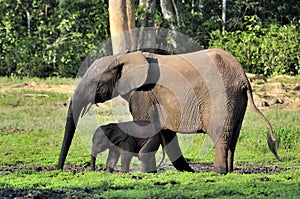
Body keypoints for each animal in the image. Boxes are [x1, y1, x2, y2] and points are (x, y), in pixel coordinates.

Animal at [57, 49, 280, 173]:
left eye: (94, 84)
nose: (58, 170)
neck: (124, 57)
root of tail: (243, 78)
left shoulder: (143, 93)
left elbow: (144, 125)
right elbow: (165, 132)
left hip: (222, 96)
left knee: (220, 135)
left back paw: (219, 172)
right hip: (237, 99)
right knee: (233, 136)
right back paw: (229, 171)